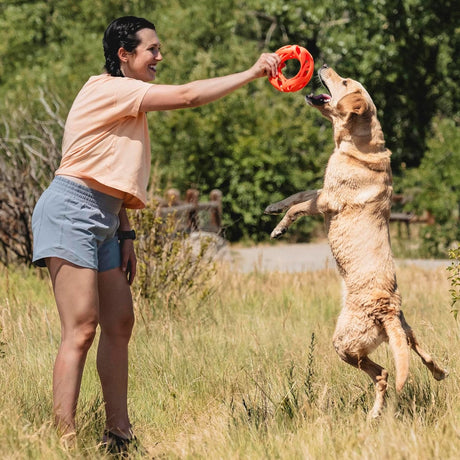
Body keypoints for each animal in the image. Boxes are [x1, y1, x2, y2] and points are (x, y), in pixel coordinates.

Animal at [268, 65, 448, 420]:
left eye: (346, 82)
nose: (324, 65)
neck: (357, 145)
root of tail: (387, 310)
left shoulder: (328, 201)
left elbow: (299, 207)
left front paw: (279, 228)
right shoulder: (322, 192)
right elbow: (297, 195)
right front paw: (273, 207)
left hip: (345, 344)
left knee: (383, 373)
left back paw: (374, 413)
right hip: (402, 330)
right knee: (417, 348)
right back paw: (438, 373)